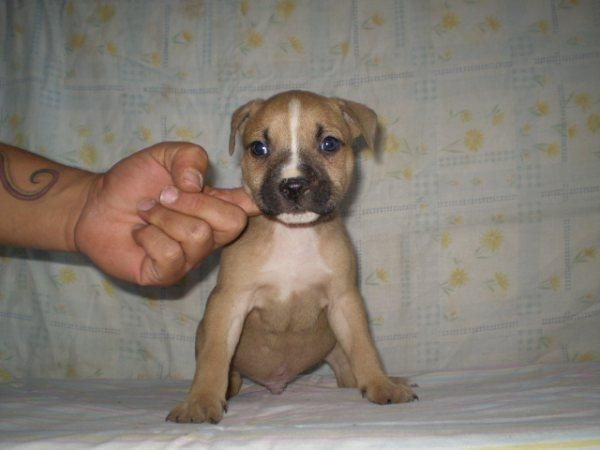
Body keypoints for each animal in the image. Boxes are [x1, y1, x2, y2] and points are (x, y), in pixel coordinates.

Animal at [165, 89, 418, 424]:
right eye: (258, 148)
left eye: (329, 144)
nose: (294, 184)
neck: (293, 234)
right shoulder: (229, 302)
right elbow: (214, 354)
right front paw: (201, 400)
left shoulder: (344, 301)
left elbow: (365, 346)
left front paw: (381, 384)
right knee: (228, 371)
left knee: (350, 372)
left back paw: (389, 379)